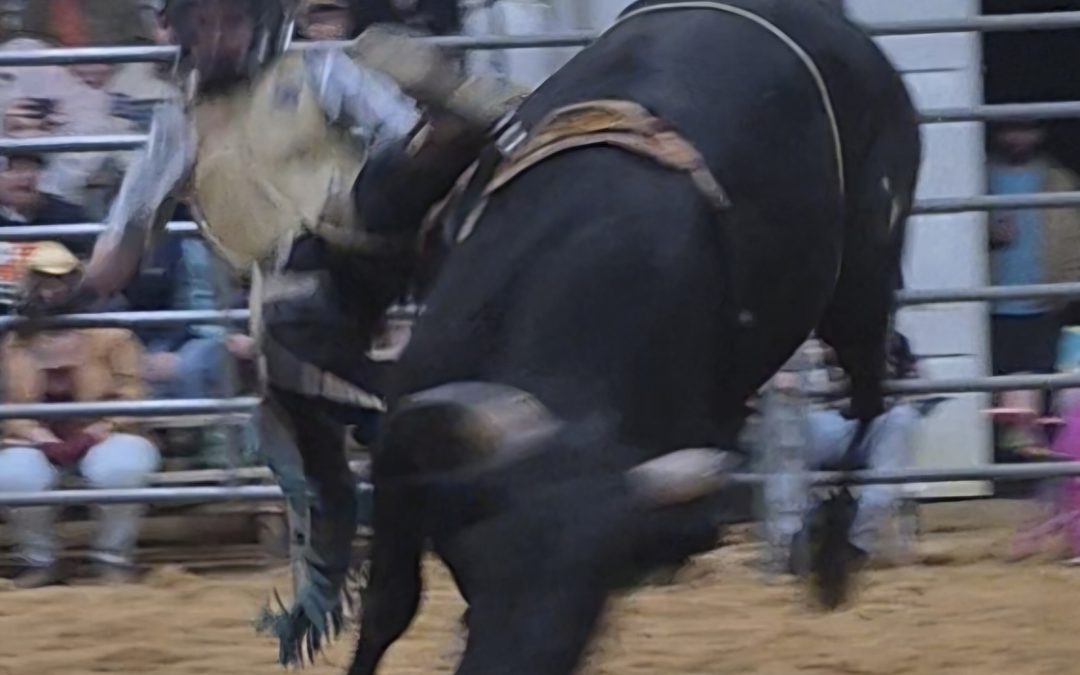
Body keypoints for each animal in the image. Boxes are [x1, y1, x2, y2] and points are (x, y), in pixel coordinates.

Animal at [344, 1, 922, 673]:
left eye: (590, 593)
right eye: (477, 558)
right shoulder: (401, 453)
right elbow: (389, 606)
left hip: (863, 281)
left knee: (868, 400)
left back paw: (830, 556)